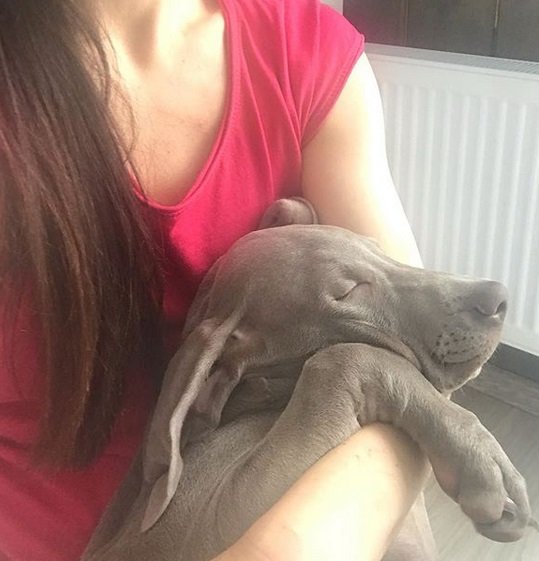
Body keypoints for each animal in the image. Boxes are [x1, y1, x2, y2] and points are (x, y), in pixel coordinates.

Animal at [83, 197, 536, 560]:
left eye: (376, 248)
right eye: (349, 291)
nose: (498, 297)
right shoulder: (197, 525)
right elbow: (340, 356)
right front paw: (482, 459)